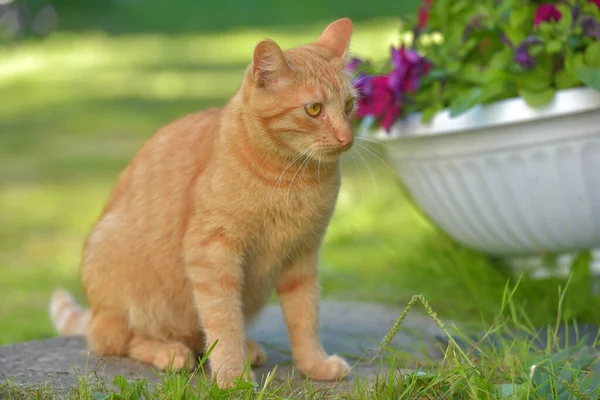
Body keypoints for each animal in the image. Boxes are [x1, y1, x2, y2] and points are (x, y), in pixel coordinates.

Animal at [50, 18, 356, 388]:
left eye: (349, 105)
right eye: (314, 109)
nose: (347, 138)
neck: (293, 178)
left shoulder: (303, 257)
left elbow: (305, 318)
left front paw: (315, 365)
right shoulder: (212, 253)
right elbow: (223, 321)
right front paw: (234, 377)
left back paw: (245, 348)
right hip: (116, 267)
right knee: (116, 339)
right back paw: (171, 353)